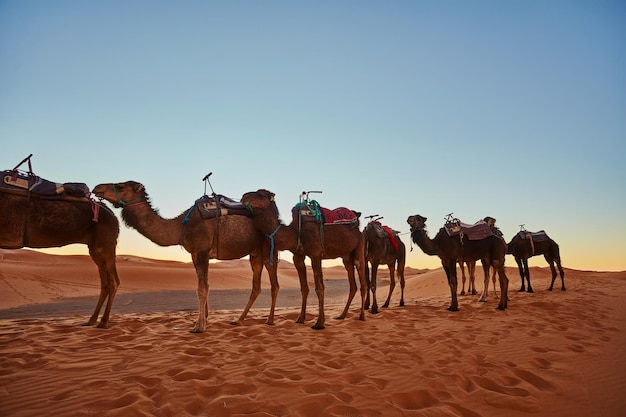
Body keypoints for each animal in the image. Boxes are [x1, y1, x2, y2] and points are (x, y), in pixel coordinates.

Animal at [0, 167, 119, 326]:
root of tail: (114, 217)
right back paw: (91, 320)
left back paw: (103, 322)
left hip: (106, 244)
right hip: (96, 249)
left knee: (112, 282)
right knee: (105, 282)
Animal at [91, 180, 276, 334]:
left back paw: (270, 320)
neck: (181, 226)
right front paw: (202, 321)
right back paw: (238, 320)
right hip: (254, 253)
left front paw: (199, 327)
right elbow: (204, 286)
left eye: (121, 186)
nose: (97, 187)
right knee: (257, 286)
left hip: (269, 249)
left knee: (274, 285)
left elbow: (202, 288)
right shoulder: (195, 254)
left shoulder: (201, 251)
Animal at [239, 188, 366, 328]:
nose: (243, 197)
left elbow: (319, 287)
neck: (295, 232)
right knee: (353, 285)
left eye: (261, 195)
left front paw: (319, 323)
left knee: (362, 283)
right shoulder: (298, 256)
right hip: (346, 257)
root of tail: (358, 226)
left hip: (359, 248)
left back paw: (362, 316)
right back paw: (342, 315)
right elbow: (304, 288)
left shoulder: (316, 254)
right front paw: (300, 318)